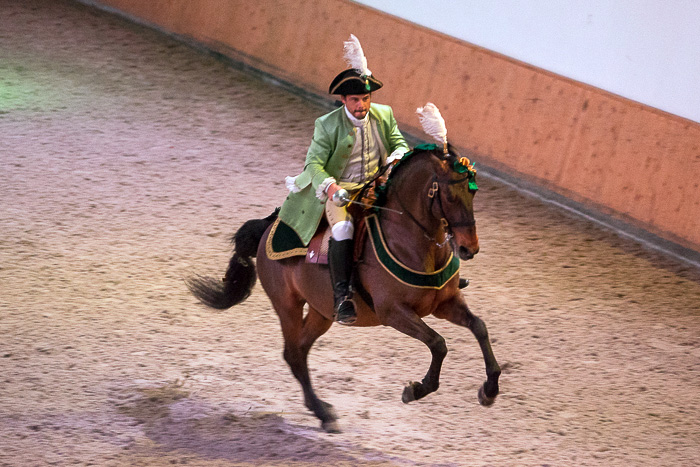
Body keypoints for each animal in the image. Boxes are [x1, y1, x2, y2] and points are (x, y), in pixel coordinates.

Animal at [189, 144, 500, 434]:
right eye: (449, 196)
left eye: (473, 193)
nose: (469, 248)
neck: (413, 243)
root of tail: (269, 227)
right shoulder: (393, 312)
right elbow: (438, 343)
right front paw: (416, 390)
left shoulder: (445, 303)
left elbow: (480, 327)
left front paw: (489, 390)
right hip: (287, 304)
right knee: (293, 354)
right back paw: (324, 414)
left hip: (322, 312)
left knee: (300, 350)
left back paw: (321, 410)